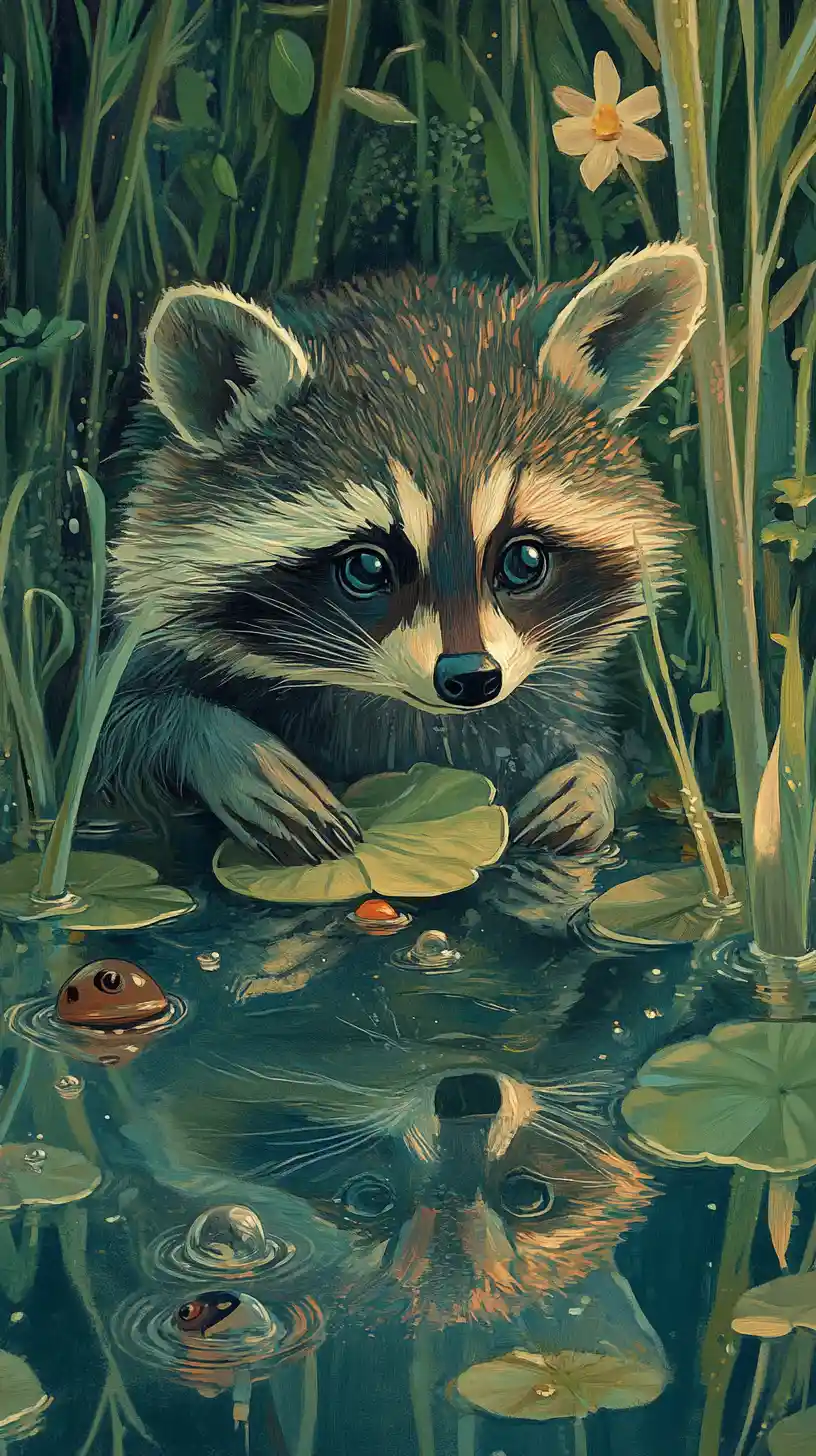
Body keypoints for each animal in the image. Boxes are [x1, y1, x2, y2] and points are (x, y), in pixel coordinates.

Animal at [98, 243, 705, 863]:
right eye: (367, 567)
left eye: (524, 562)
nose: (472, 678)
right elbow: (116, 733)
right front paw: (227, 747)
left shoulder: (556, 689)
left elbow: (591, 735)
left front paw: (590, 778)